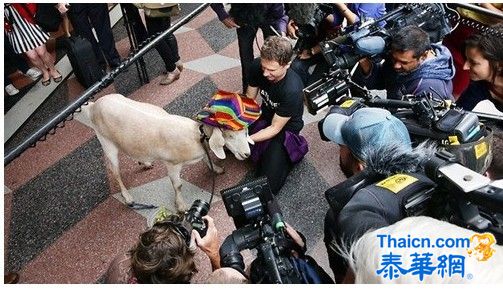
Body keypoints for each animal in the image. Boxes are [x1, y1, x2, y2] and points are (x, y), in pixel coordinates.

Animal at [80, 94, 254, 212]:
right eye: (228, 135)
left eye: (245, 132)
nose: (247, 154)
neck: (195, 136)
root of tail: (93, 106)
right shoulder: (172, 164)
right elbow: (178, 185)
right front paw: (181, 206)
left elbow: (206, 157)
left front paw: (217, 169)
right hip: (106, 142)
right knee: (114, 171)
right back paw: (128, 197)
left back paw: (145, 163)